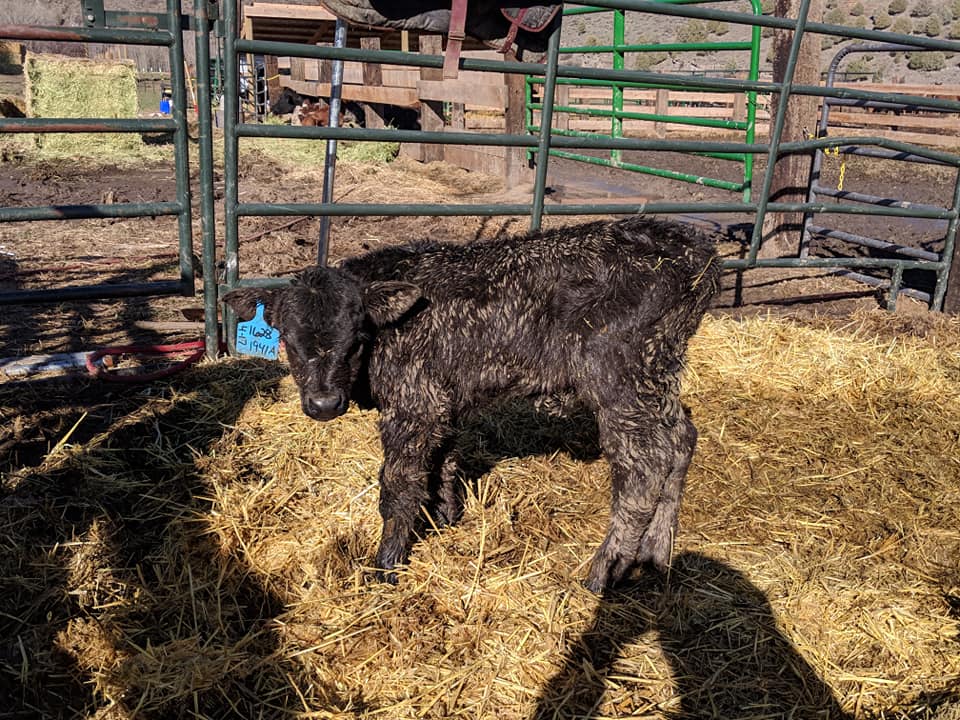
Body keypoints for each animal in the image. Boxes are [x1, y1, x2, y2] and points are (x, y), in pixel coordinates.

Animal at [223, 217, 721, 592]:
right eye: (287, 338)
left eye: (357, 338)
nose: (324, 403)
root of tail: (694, 251)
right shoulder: (442, 400)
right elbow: (441, 461)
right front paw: (444, 519)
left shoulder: (414, 403)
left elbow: (398, 482)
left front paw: (386, 564)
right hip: (657, 373)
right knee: (681, 438)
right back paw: (656, 555)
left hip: (618, 374)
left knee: (644, 464)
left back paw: (604, 570)